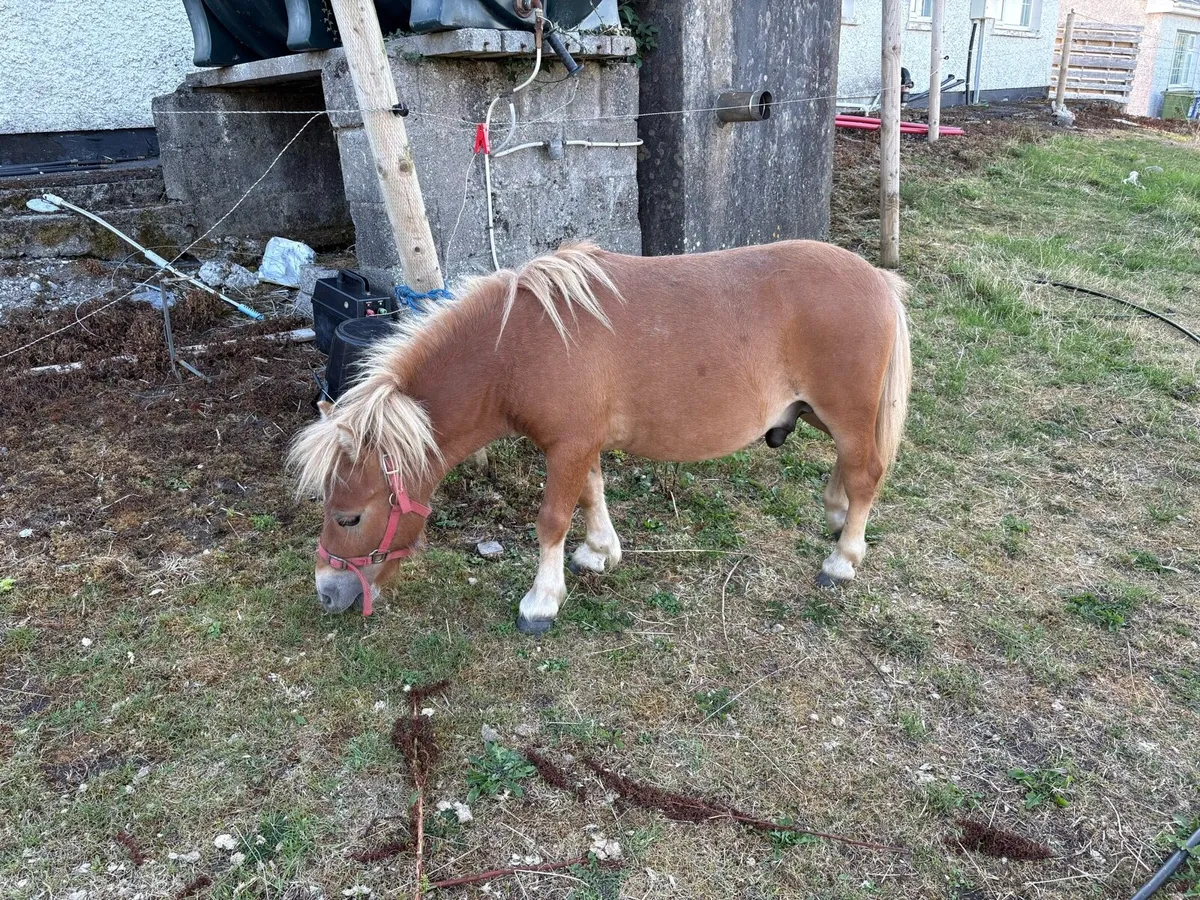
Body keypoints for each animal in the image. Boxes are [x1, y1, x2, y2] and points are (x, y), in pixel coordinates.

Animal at [287, 240, 911, 634]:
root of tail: (876, 279)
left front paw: (542, 601)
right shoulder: (578, 443)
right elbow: (591, 495)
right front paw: (599, 551)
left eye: (349, 517)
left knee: (866, 473)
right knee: (849, 469)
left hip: (847, 412)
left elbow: (552, 520)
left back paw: (843, 557)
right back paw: (835, 517)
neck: (518, 346)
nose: (325, 592)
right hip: (820, 412)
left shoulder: (566, 447)